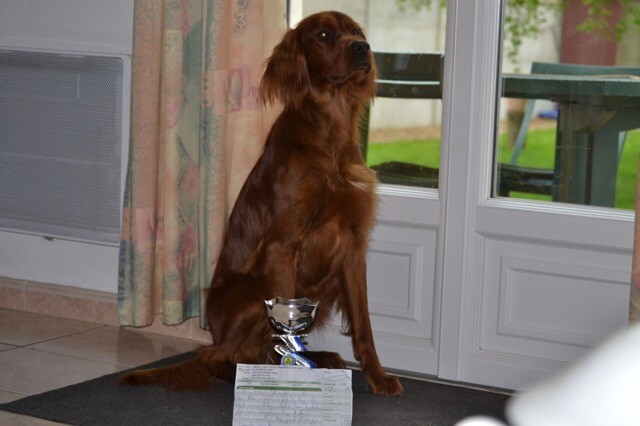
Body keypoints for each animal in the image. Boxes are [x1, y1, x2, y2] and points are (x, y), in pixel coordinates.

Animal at [120, 10, 402, 396]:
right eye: (324, 35)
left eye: (355, 31)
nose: (362, 47)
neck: (329, 131)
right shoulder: (282, 247)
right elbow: (284, 335)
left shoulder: (352, 246)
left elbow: (364, 323)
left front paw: (378, 376)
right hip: (254, 289)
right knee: (220, 357)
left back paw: (320, 359)